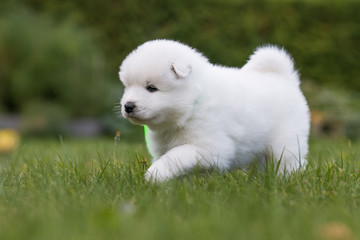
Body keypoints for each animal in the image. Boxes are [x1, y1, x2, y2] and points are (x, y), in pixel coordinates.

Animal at [119, 39, 310, 182]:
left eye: (151, 88)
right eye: (127, 87)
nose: (128, 106)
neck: (193, 105)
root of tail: (284, 79)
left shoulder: (210, 147)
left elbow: (175, 156)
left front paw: (154, 174)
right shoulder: (162, 148)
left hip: (285, 143)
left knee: (287, 162)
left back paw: (286, 181)